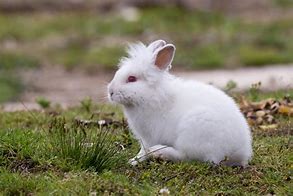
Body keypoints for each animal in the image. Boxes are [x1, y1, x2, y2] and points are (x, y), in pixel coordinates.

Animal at [107, 39, 251, 167]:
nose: (110, 92)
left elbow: (144, 151)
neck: (151, 96)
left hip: (193, 133)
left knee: (188, 157)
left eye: (132, 79)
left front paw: (134, 161)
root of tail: (240, 153)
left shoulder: (149, 138)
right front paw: (133, 160)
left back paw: (159, 152)